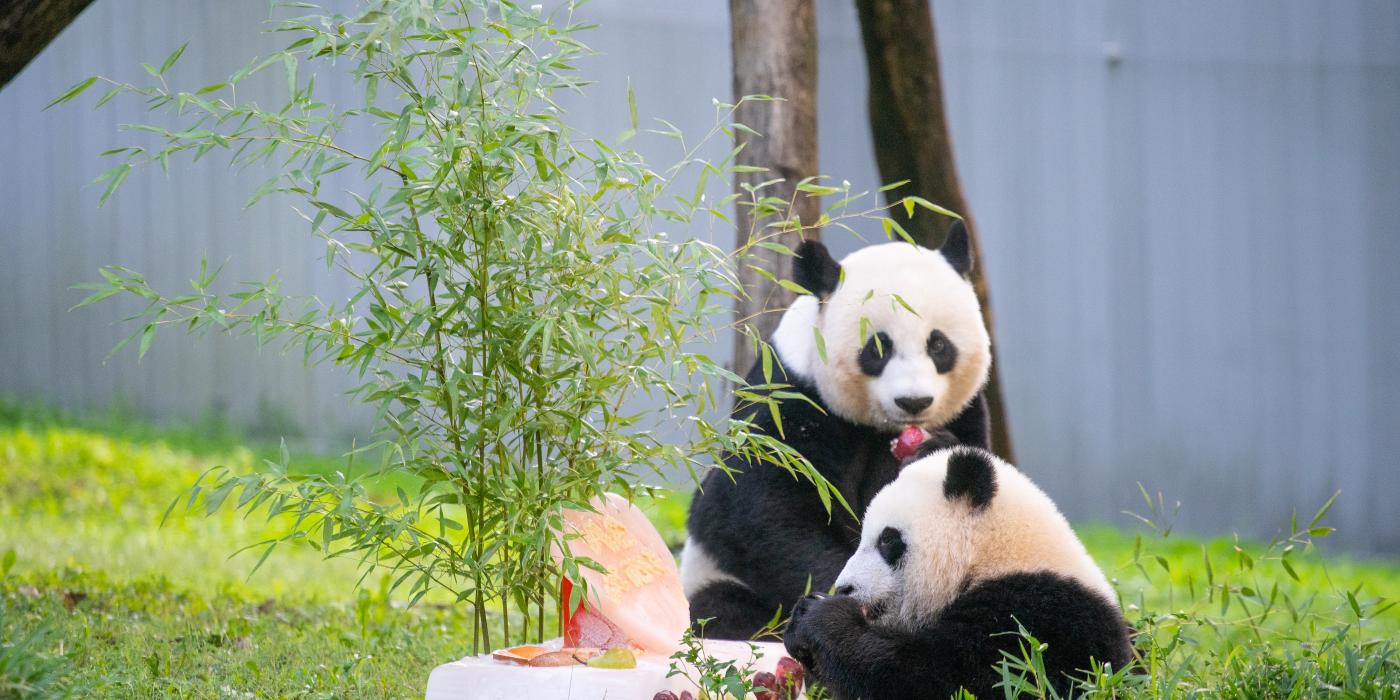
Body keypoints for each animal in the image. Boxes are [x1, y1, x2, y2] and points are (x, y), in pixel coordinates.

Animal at [680, 222, 991, 641]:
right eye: (878, 348)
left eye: (938, 344)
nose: (914, 401)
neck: (880, 427)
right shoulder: (790, 399)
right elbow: (761, 513)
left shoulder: (966, 410)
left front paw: (928, 454)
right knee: (722, 608)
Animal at [784, 445, 1131, 697]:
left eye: (887, 540)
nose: (845, 588)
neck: (993, 555)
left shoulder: (1039, 619)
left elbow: (944, 678)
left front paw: (819, 615)